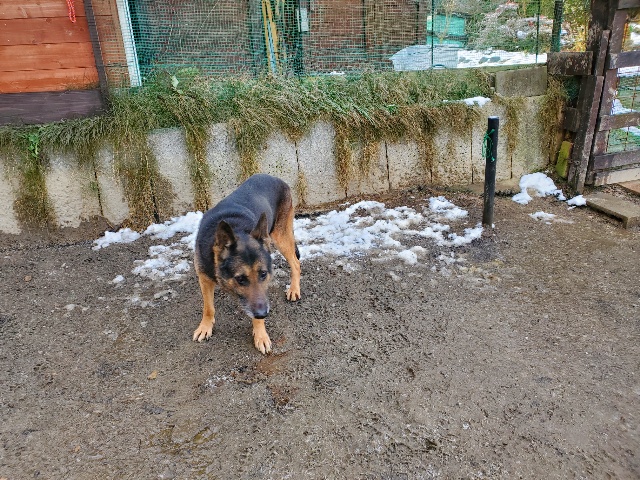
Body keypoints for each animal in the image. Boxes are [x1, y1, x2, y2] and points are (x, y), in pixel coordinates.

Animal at [192, 174, 301, 354]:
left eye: (263, 274)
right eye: (240, 279)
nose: (264, 314)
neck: (237, 229)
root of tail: (275, 178)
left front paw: (260, 335)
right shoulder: (204, 278)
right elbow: (208, 307)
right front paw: (205, 327)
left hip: (280, 237)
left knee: (296, 263)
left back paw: (294, 289)